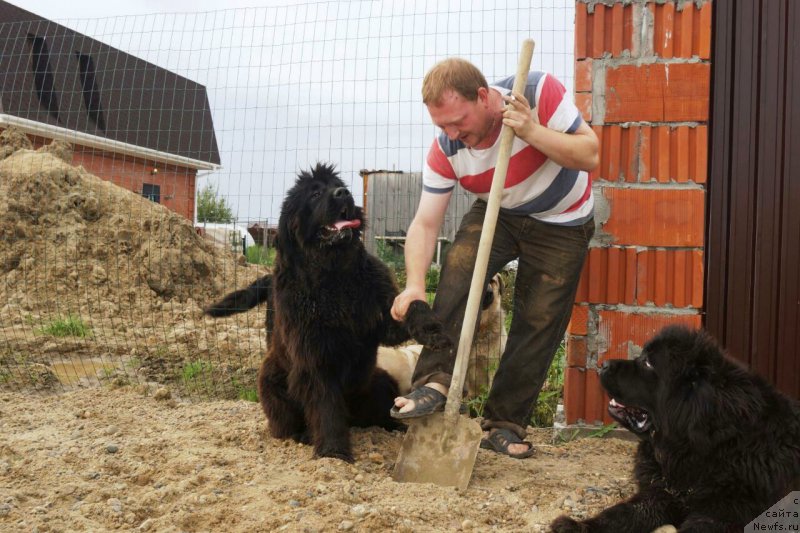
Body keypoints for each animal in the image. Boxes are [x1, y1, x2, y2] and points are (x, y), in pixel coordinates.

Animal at [209, 163, 454, 462]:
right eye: (314, 194)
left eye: (339, 185)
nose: (343, 194)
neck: (334, 275)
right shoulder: (315, 358)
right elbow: (326, 407)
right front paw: (333, 452)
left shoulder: (380, 318)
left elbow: (410, 306)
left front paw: (433, 330)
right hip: (274, 385)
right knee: (286, 425)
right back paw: (304, 435)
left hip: (379, 381)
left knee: (375, 413)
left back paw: (394, 425)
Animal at [552, 324, 800, 532]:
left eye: (648, 363)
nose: (603, 365)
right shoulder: (661, 494)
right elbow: (620, 514)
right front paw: (576, 526)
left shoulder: (725, 511)